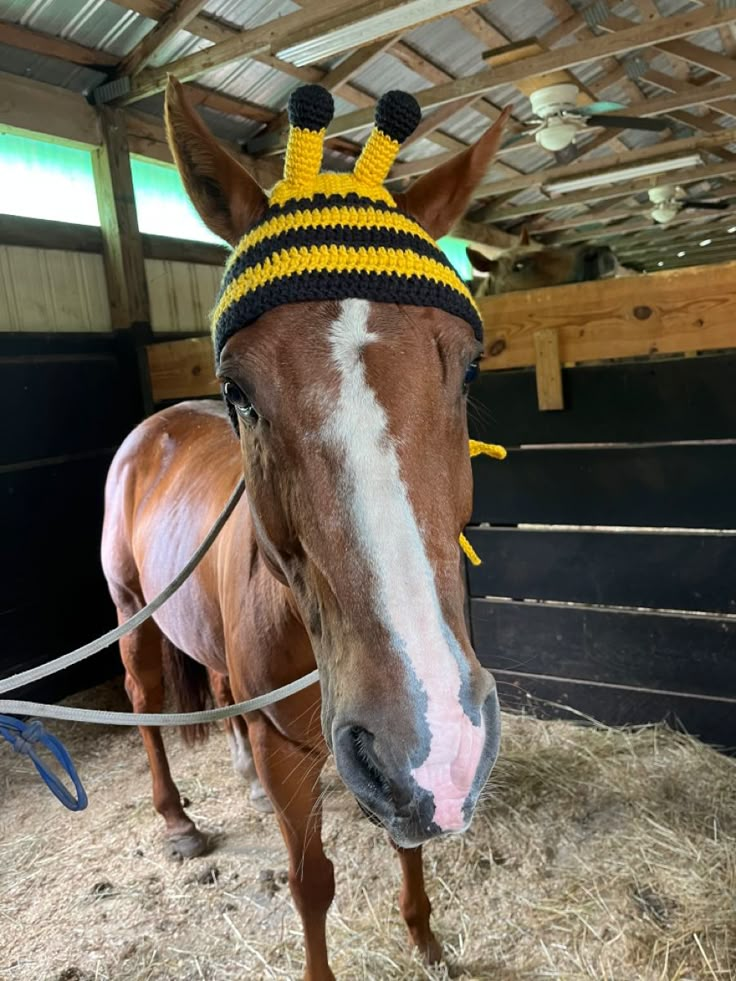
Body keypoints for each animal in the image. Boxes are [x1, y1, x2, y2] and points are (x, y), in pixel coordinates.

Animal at [99, 78, 512, 980]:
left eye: (469, 367)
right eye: (237, 387)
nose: (436, 737)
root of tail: (156, 426)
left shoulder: (395, 774)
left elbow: (407, 837)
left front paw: (425, 937)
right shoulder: (296, 753)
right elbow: (311, 881)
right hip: (130, 608)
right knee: (146, 699)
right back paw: (177, 820)